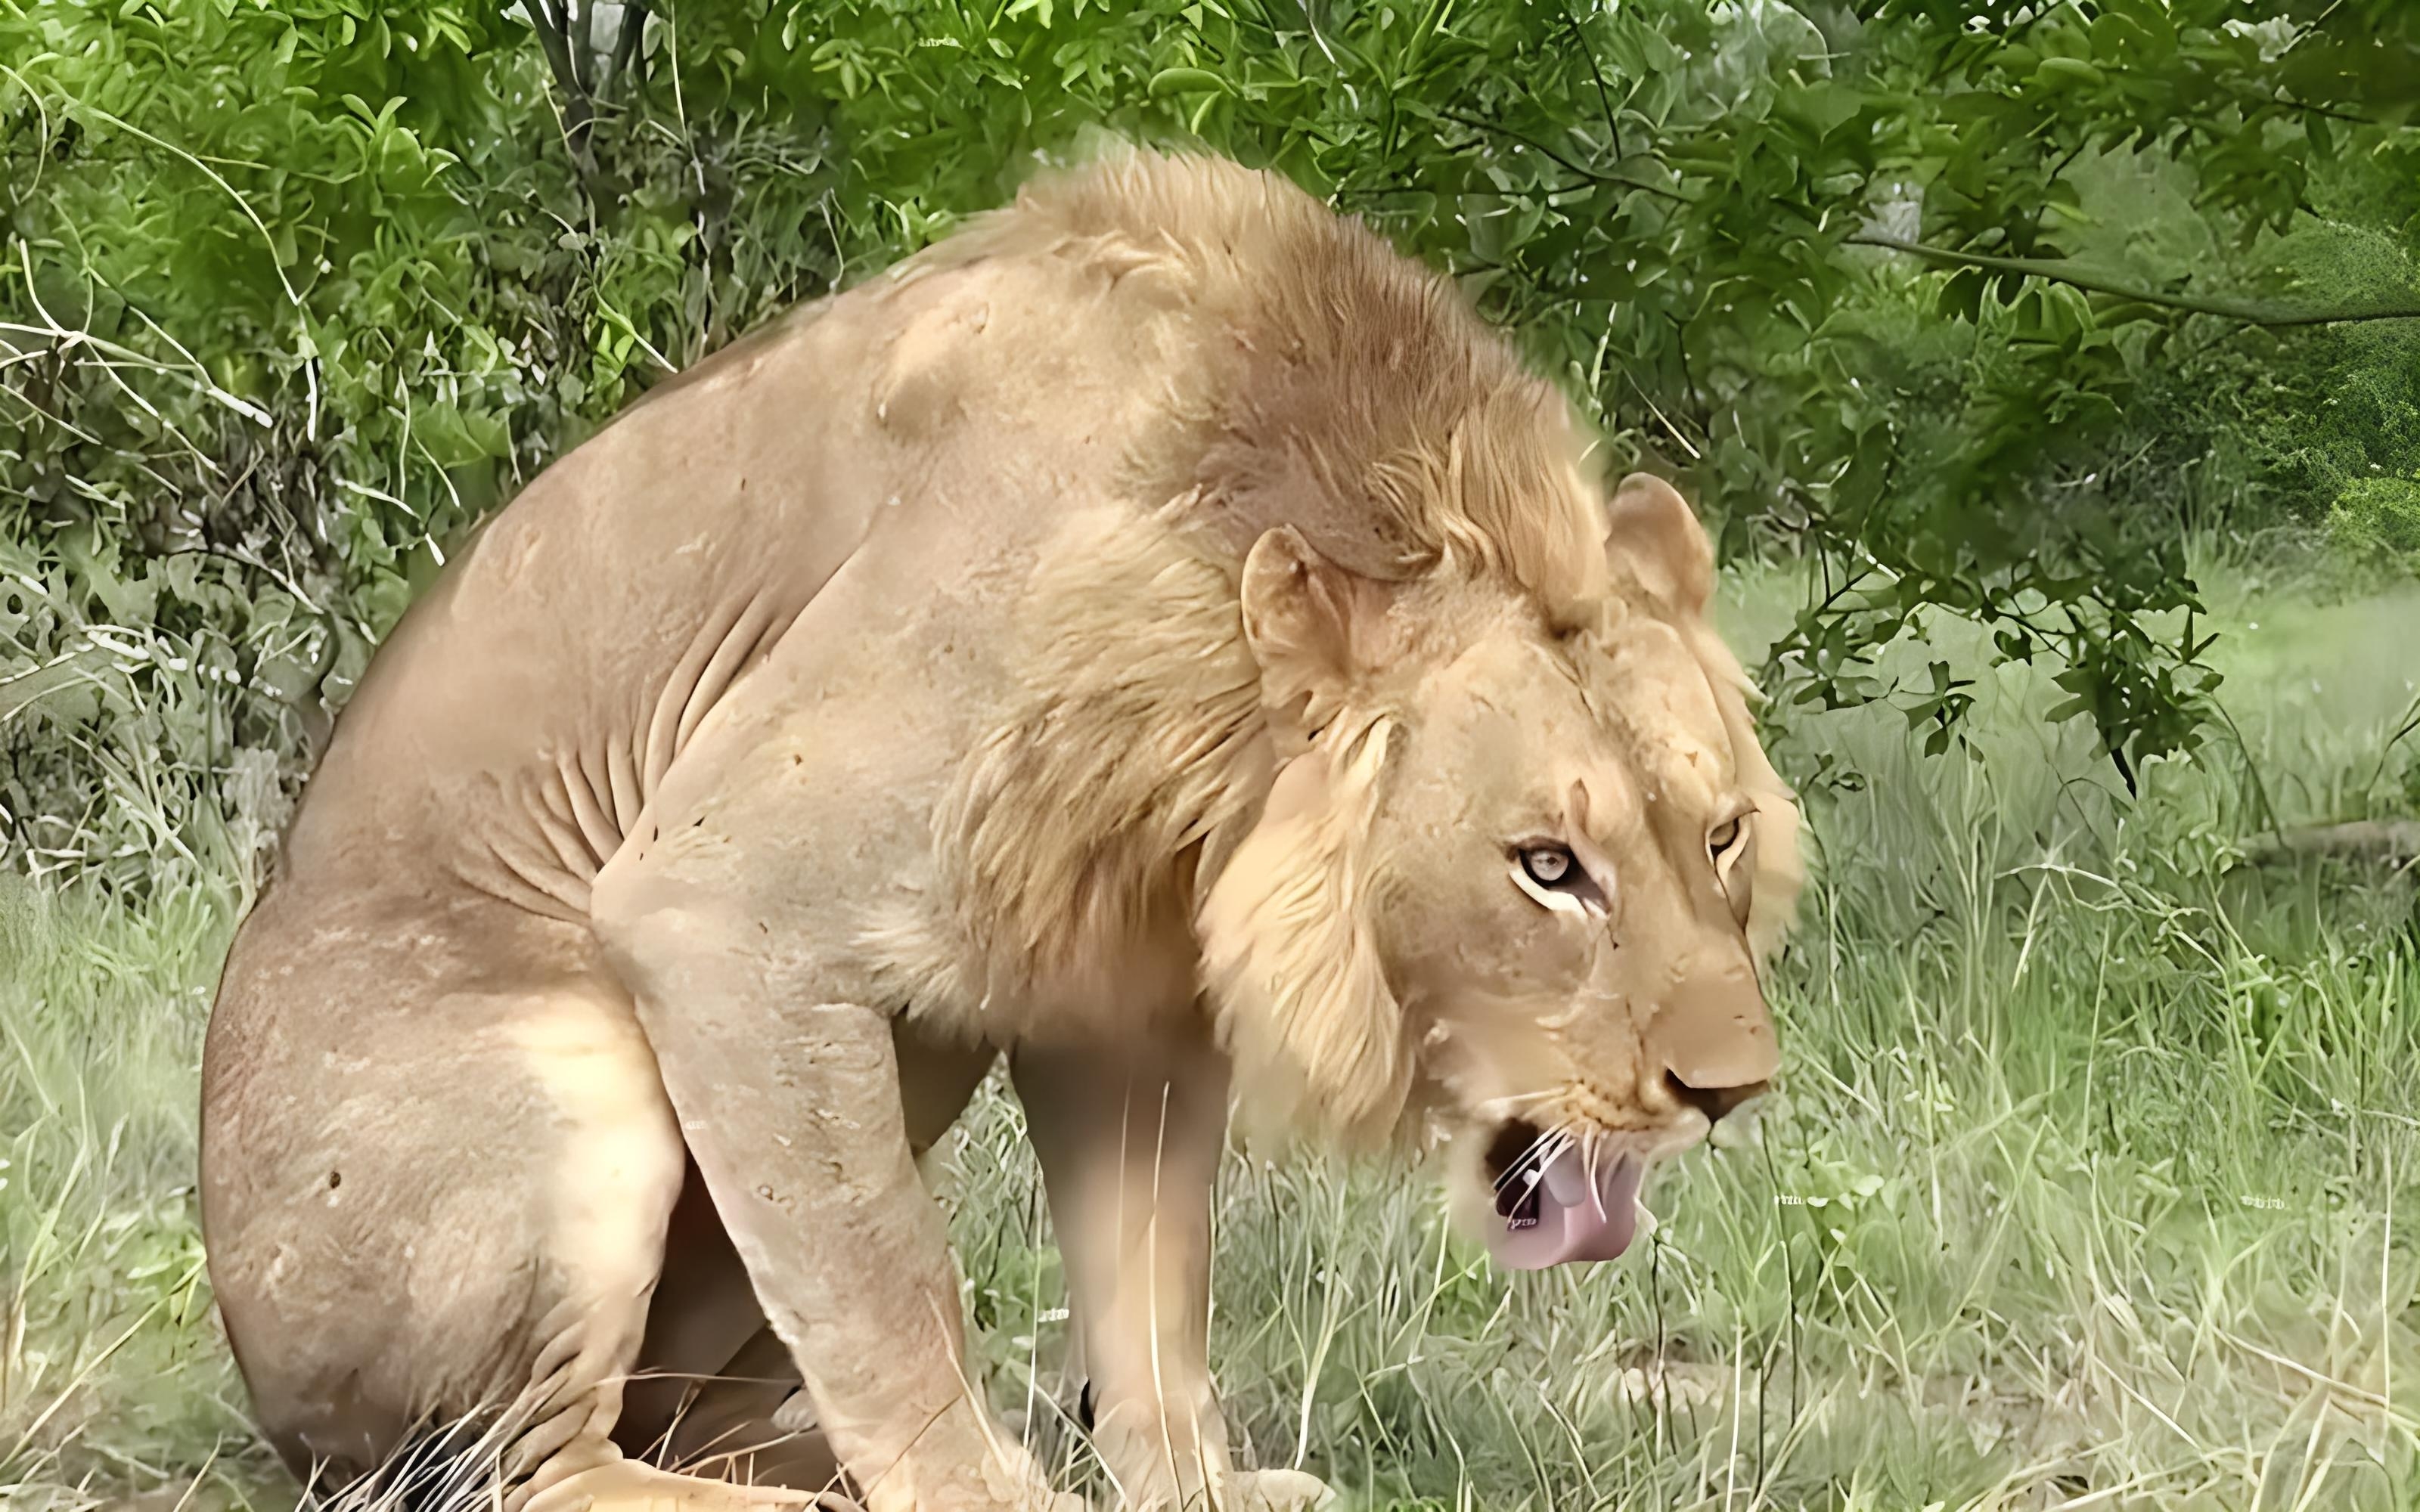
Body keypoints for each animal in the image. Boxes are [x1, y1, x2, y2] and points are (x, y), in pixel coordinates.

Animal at [203, 144, 1800, 1509]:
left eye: (1720, 837)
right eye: (1550, 869)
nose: (1730, 1093)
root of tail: (266, 1392)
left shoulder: (1128, 1000)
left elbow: (1151, 1287)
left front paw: (1191, 1483)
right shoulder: (723, 902)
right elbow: (890, 1284)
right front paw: (974, 1488)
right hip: (577, 1085)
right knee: (527, 1464)